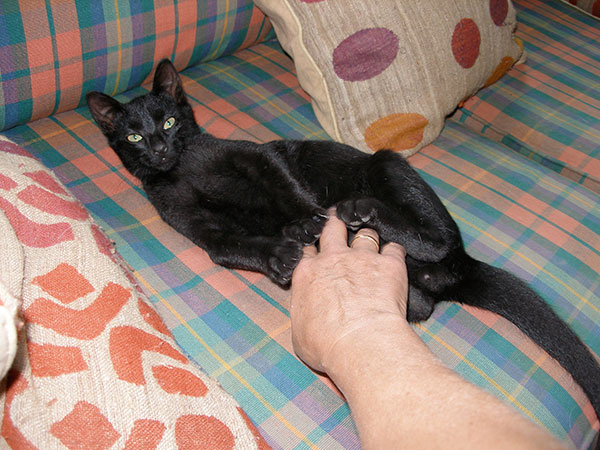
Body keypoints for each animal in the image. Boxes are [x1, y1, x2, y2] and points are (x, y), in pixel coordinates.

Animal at [87, 59, 600, 431]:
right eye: (134, 134)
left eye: (170, 121)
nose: (158, 148)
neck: (183, 171)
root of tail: (462, 267)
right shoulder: (198, 227)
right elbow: (231, 247)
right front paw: (281, 252)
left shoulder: (261, 159)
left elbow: (291, 192)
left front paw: (313, 220)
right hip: (413, 265)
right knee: (422, 301)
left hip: (387, 165)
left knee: (436, 241)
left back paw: (359, 211)